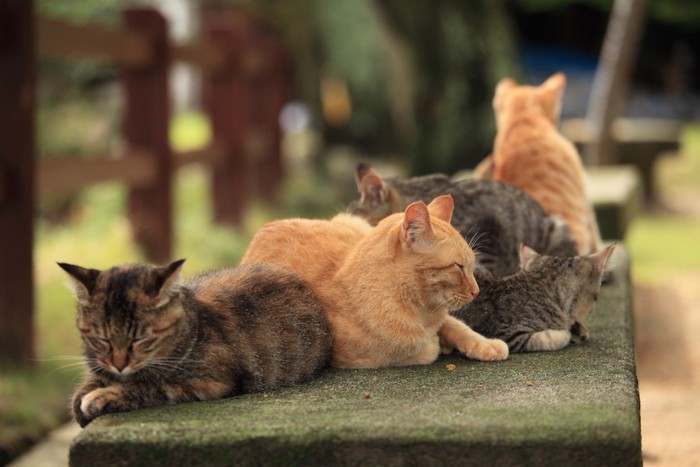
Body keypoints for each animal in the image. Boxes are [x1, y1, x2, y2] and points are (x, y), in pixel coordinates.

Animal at [58, 260, 332, 428]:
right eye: (101, 338)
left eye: (140, 339)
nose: (119, 364)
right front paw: (84, 397)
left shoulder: (210, 383)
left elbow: (150, 387)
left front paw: (100, 397)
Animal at [241, 195, 508, 370]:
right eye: (459, 267)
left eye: (471, 266)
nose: (476, 291)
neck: (422, 312)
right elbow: (424, 349)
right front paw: (439, 344)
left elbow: (457, 325)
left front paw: (484, 344)